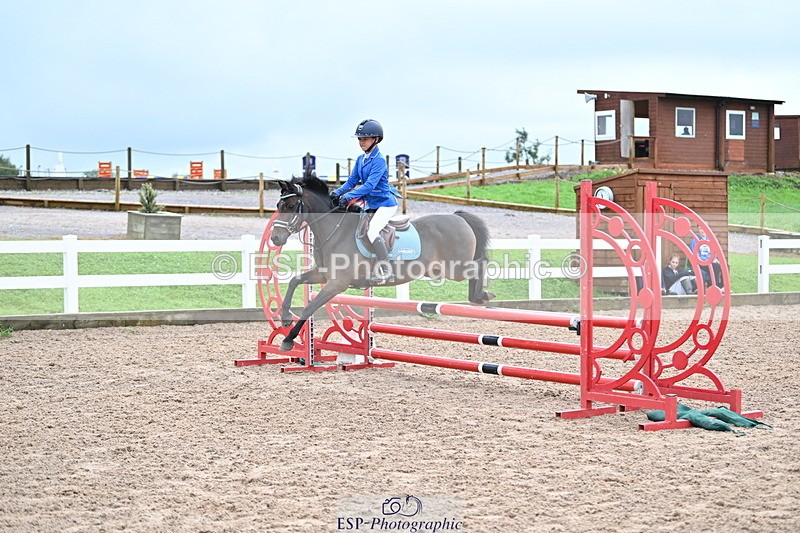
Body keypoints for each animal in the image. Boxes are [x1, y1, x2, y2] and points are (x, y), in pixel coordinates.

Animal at [271, 170, 495, 352]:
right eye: (278, 205)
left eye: (291, 205)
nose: (275, 239)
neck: (335, 231)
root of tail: (459, 217)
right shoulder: (323, 276)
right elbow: (294, 281)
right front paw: (285, 317)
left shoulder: (337, 284)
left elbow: (309, 308)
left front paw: (288, 340)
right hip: (439, 269)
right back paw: (479, 296)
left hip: (456, 268)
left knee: (480, 264)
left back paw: (481, 295)